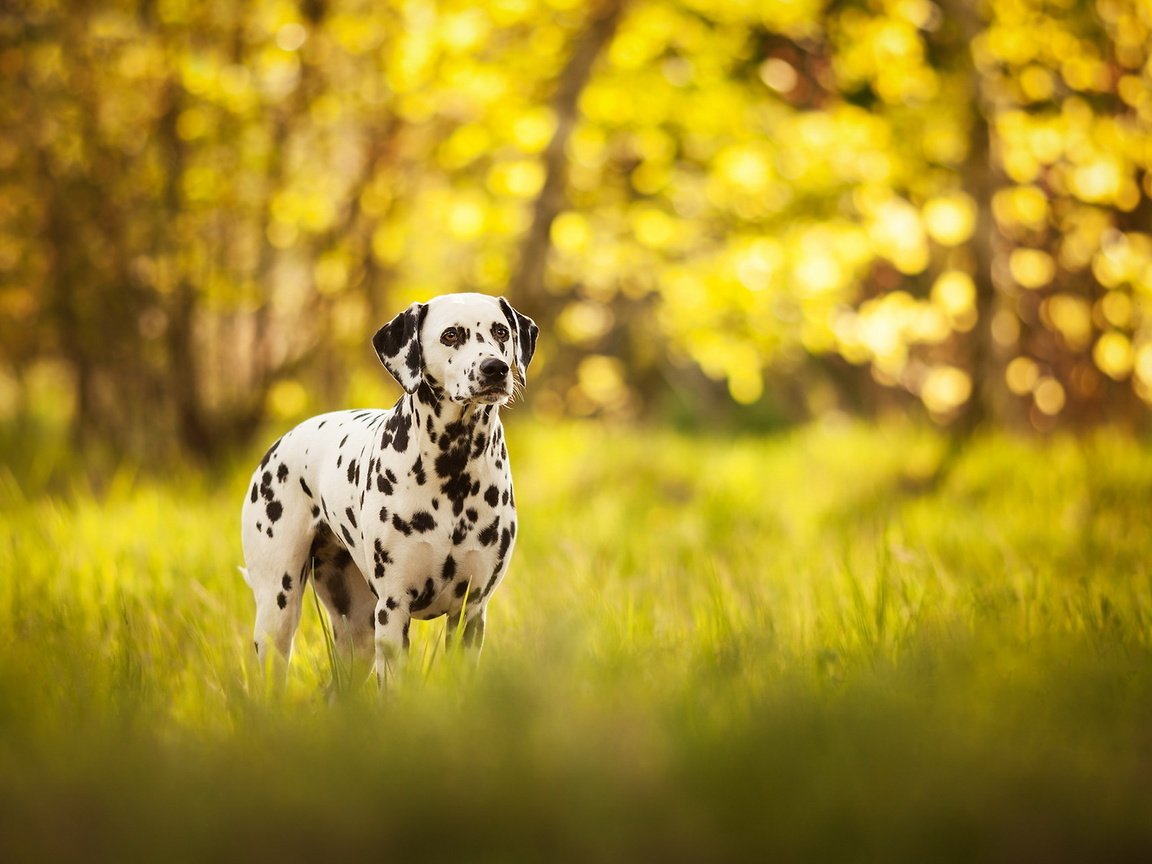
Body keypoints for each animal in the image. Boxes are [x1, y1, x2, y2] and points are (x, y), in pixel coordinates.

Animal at [240, 294, 536, 686]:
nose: (496, 368)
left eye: (501, 331)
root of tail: (282, 442)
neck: (453, 468)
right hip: (279, 610)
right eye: (451, 334)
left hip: (359, 633)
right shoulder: (394, 609)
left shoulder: (470, 613)